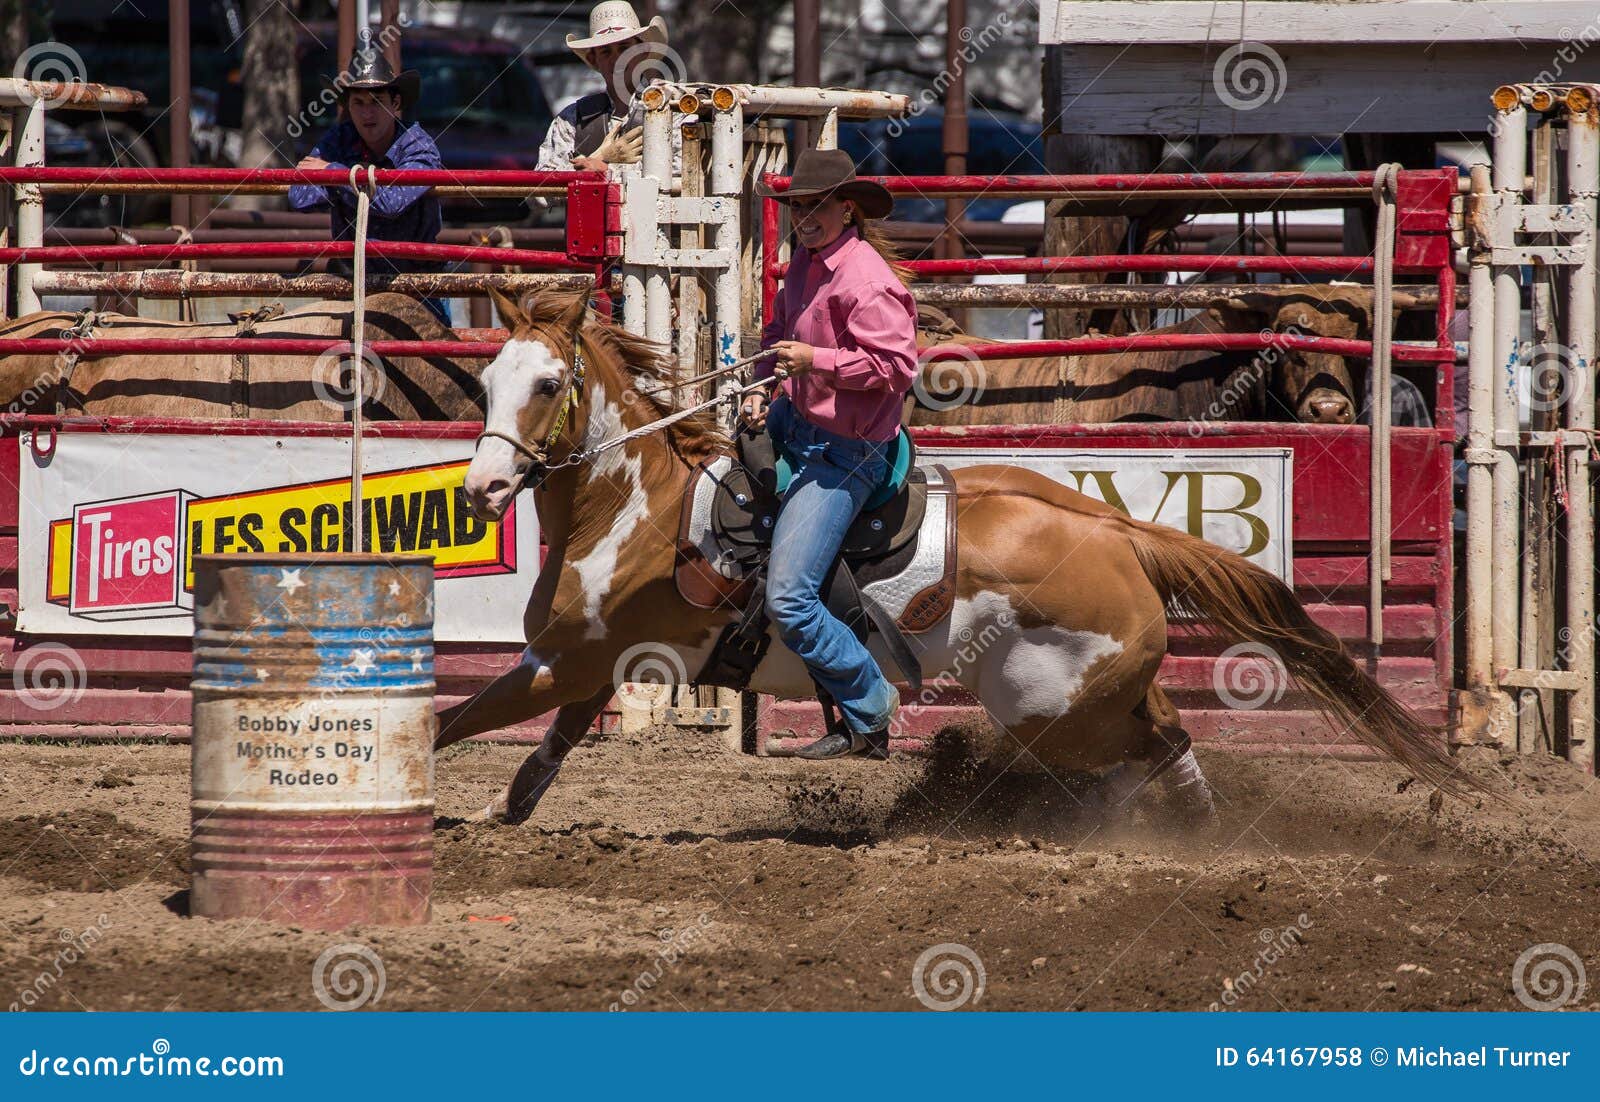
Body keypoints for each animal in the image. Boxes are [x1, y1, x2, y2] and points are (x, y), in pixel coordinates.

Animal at [432, 289, 1465, 825]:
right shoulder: (585, 672)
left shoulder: (567, 663)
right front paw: (495, 817)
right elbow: (530, 764)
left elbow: (450, 725)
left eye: (550, 383)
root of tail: (1115, 530)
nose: (484, 486)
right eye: (484, 380)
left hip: (1054, 711)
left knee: (1156, 742)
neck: (635, 511)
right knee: (1171, 731)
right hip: (1095, 693)